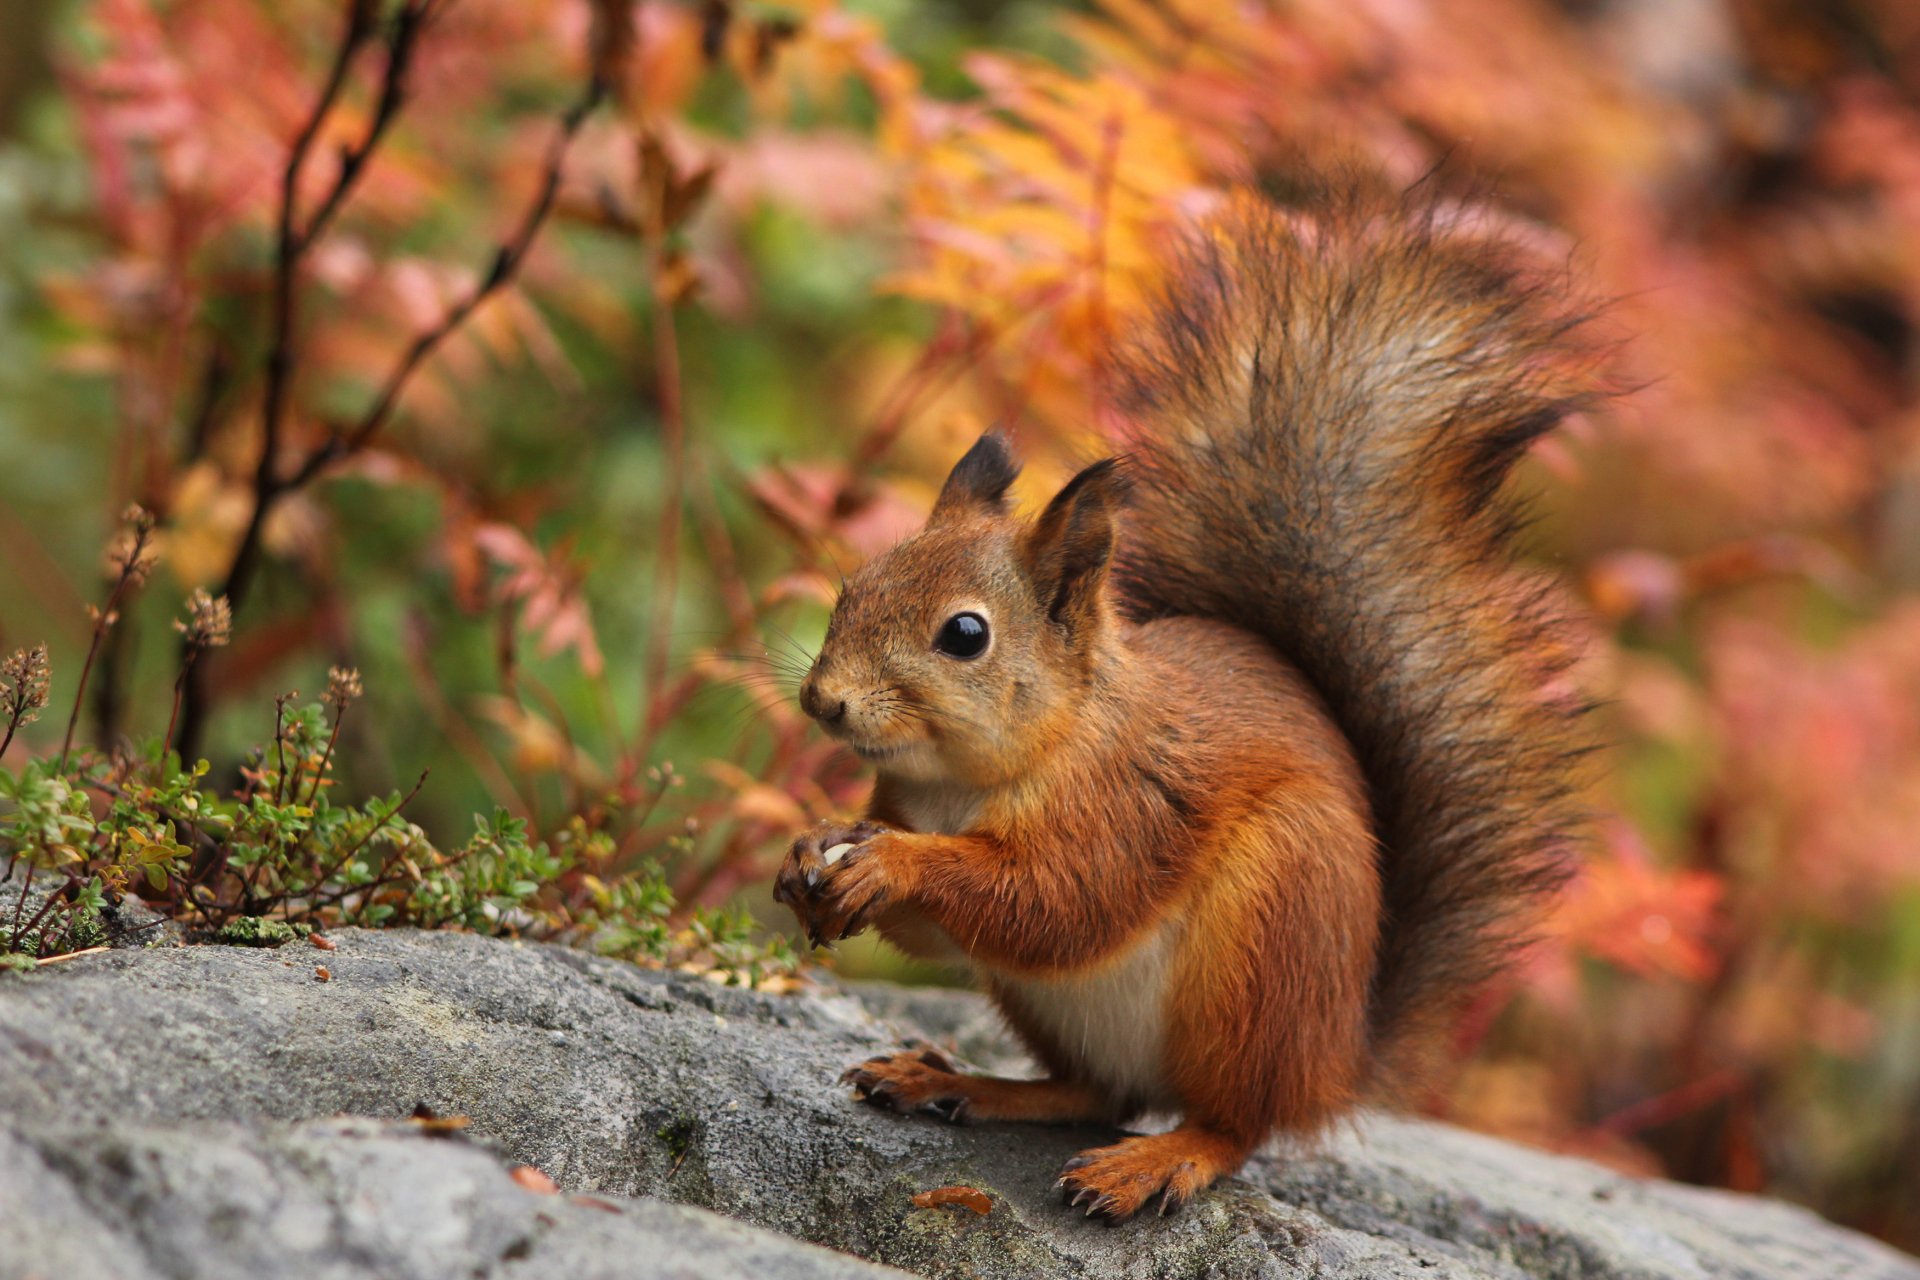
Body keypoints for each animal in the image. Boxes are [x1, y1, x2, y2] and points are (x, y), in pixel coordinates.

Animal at [772, 181, 1596, 1222]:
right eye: (856, 584)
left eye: (965, 634)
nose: (822, 701)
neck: (971, 779)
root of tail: (1333, 1063)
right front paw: (812, 847)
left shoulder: (1128, 806)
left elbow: (1054, 901)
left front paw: (894, 863)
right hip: (1053, 1005)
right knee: (1098, 1091)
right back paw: (959, 1083)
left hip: (1264, 944)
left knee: (1232, 1123)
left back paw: (1156, 1160)